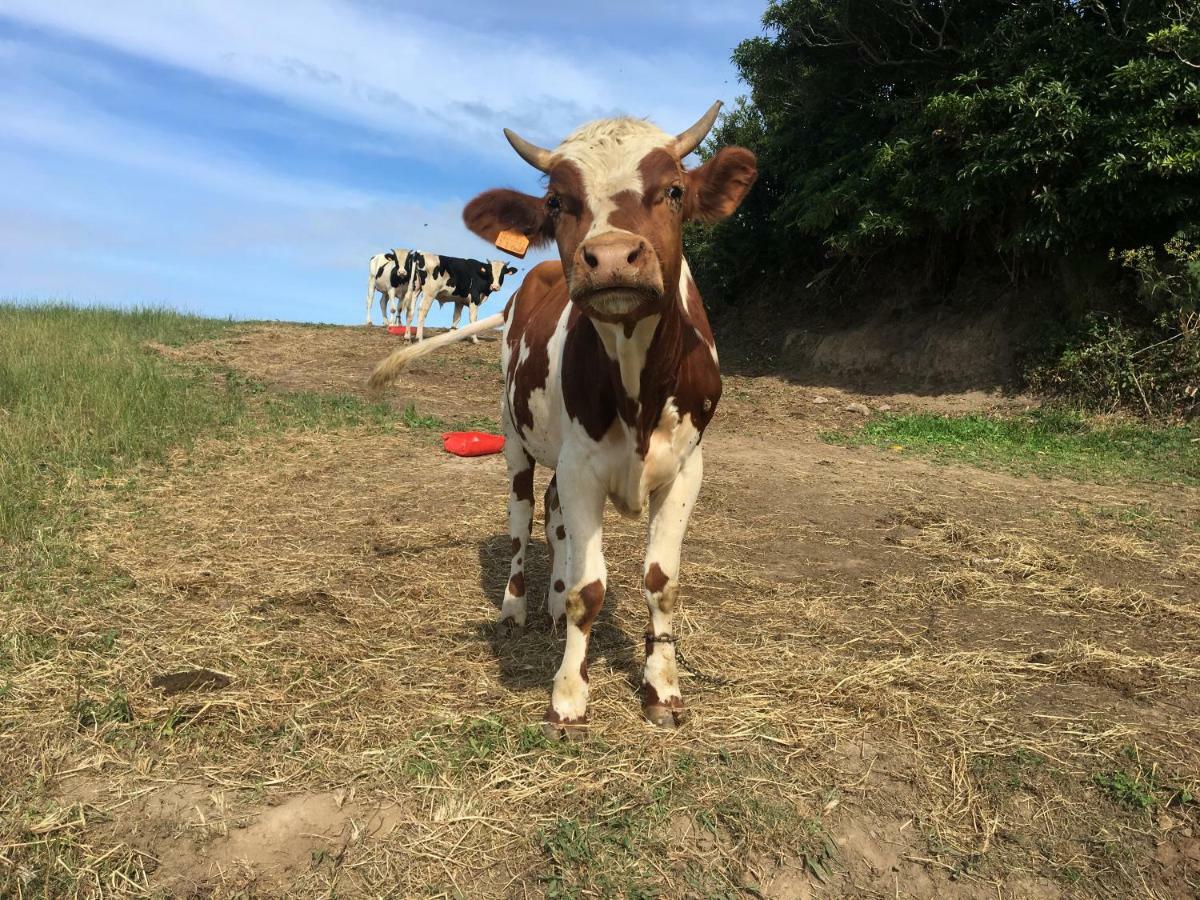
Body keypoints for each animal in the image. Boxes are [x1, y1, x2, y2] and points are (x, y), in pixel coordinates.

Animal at [369, 102, 753, 734]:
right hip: (514, 438)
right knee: (525, 518)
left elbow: (660, 583)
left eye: (674, 189)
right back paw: (519, 605)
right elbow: (589, 588)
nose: (613, 257)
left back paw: (550, 601)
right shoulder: (582, 467)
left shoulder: (685, 468)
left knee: (554, 524)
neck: (637, 384)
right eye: (556, 202)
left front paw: (663, 688)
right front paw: (569, 694)